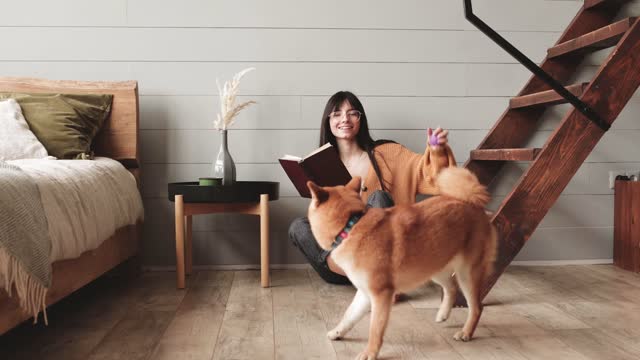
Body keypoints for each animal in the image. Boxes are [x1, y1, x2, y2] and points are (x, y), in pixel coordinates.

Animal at [308, 167, 498, 358]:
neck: (350, 225)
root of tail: (472, 203)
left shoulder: (381, 295)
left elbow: (375, 330)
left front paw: (370, 352)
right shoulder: (364, 293)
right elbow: (349, 315)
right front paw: (338, 332)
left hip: (467, 274)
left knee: (476, 307)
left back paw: (466, 332)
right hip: (433, 267)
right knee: (451, 287)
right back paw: (443, 314)